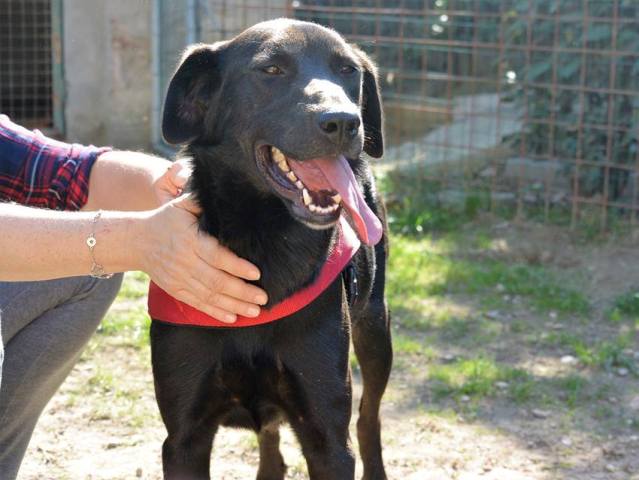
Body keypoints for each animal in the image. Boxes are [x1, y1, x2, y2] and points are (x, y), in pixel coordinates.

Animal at [150, 19, 392, 480]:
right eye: (272, 70)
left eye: (348, 71)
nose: (344, 122)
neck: (265, 243)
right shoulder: (184, 439)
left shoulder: (329, 440)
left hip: (376, 330)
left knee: (369, 417)